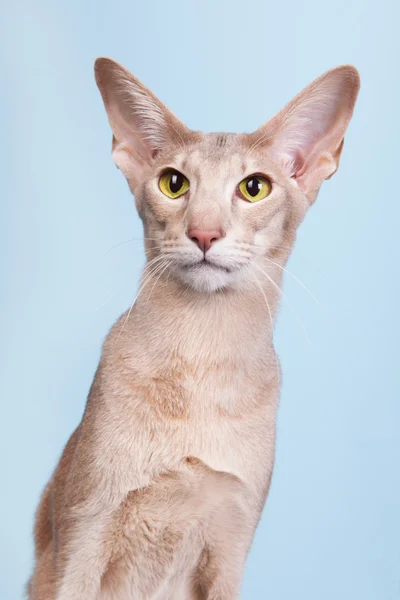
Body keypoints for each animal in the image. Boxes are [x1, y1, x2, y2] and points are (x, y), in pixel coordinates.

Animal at [28, 57, 360, 600]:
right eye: (173, 183)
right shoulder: (80, 539)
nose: (204, 233)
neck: (200, 363)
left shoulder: (230, 549)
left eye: (254, 187)